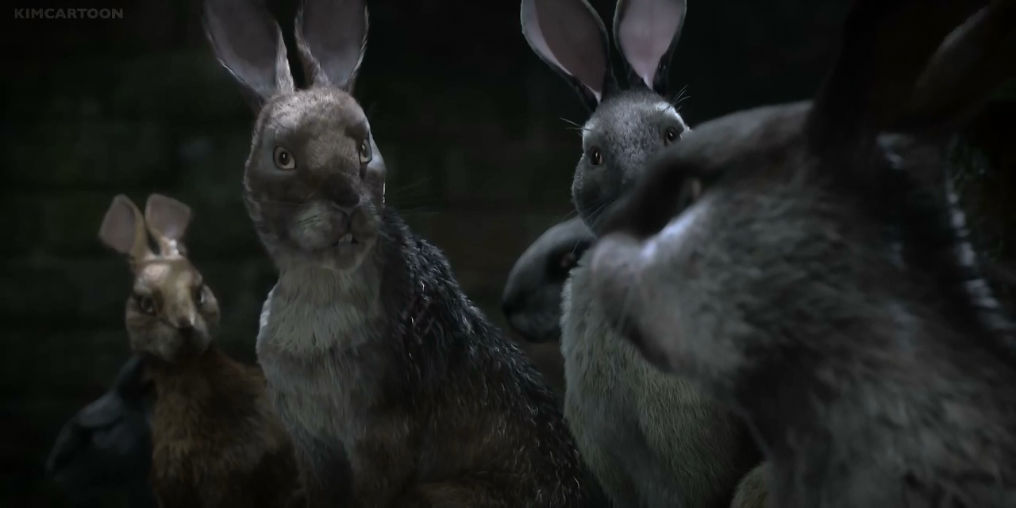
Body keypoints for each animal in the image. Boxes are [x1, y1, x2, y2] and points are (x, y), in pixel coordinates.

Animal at [203, 0, 597, 506]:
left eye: (364, 148)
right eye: (282, 157)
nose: (347, 201)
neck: (323, 284)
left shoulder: (383, 434)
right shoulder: (311, 440)